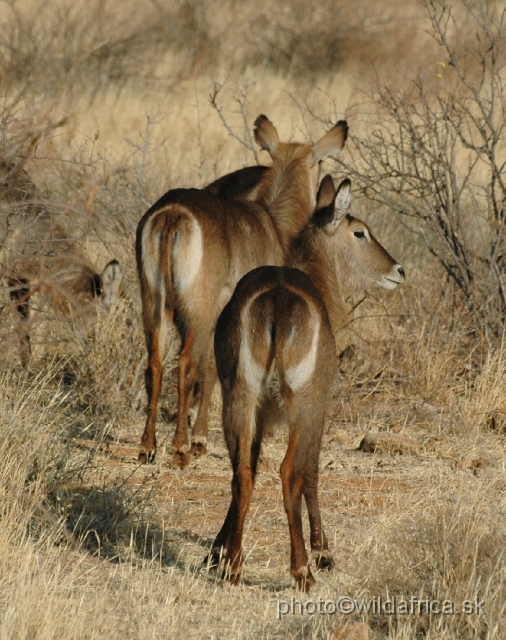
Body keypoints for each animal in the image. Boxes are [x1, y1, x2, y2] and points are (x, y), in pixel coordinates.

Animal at [0, 159, 122, 364]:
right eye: (96, 314)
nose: (101, 353)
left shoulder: (20, 279)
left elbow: (24, 326)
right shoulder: (13, 278)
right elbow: (21, 324)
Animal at [135, 114, 348, 464]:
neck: (272, 222)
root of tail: (173, 214)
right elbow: (214, 367)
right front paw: (201, 439)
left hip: (154, 301)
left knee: (154, 363)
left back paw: (147, 447)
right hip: (198, 308)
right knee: (185, 363)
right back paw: (180, 448)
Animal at [208, 175, 406, 592]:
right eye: (359, 231)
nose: (399, 270)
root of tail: (278, 299)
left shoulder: (260, 417)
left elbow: (249, 467)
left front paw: (217, 550)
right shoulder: (321, 406)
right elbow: (312, 471)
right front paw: (323, 550)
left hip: (239, 397)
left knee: (242, 473)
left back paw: (233, 568)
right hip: (303, 403)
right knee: (290, 472)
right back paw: (302, 570)